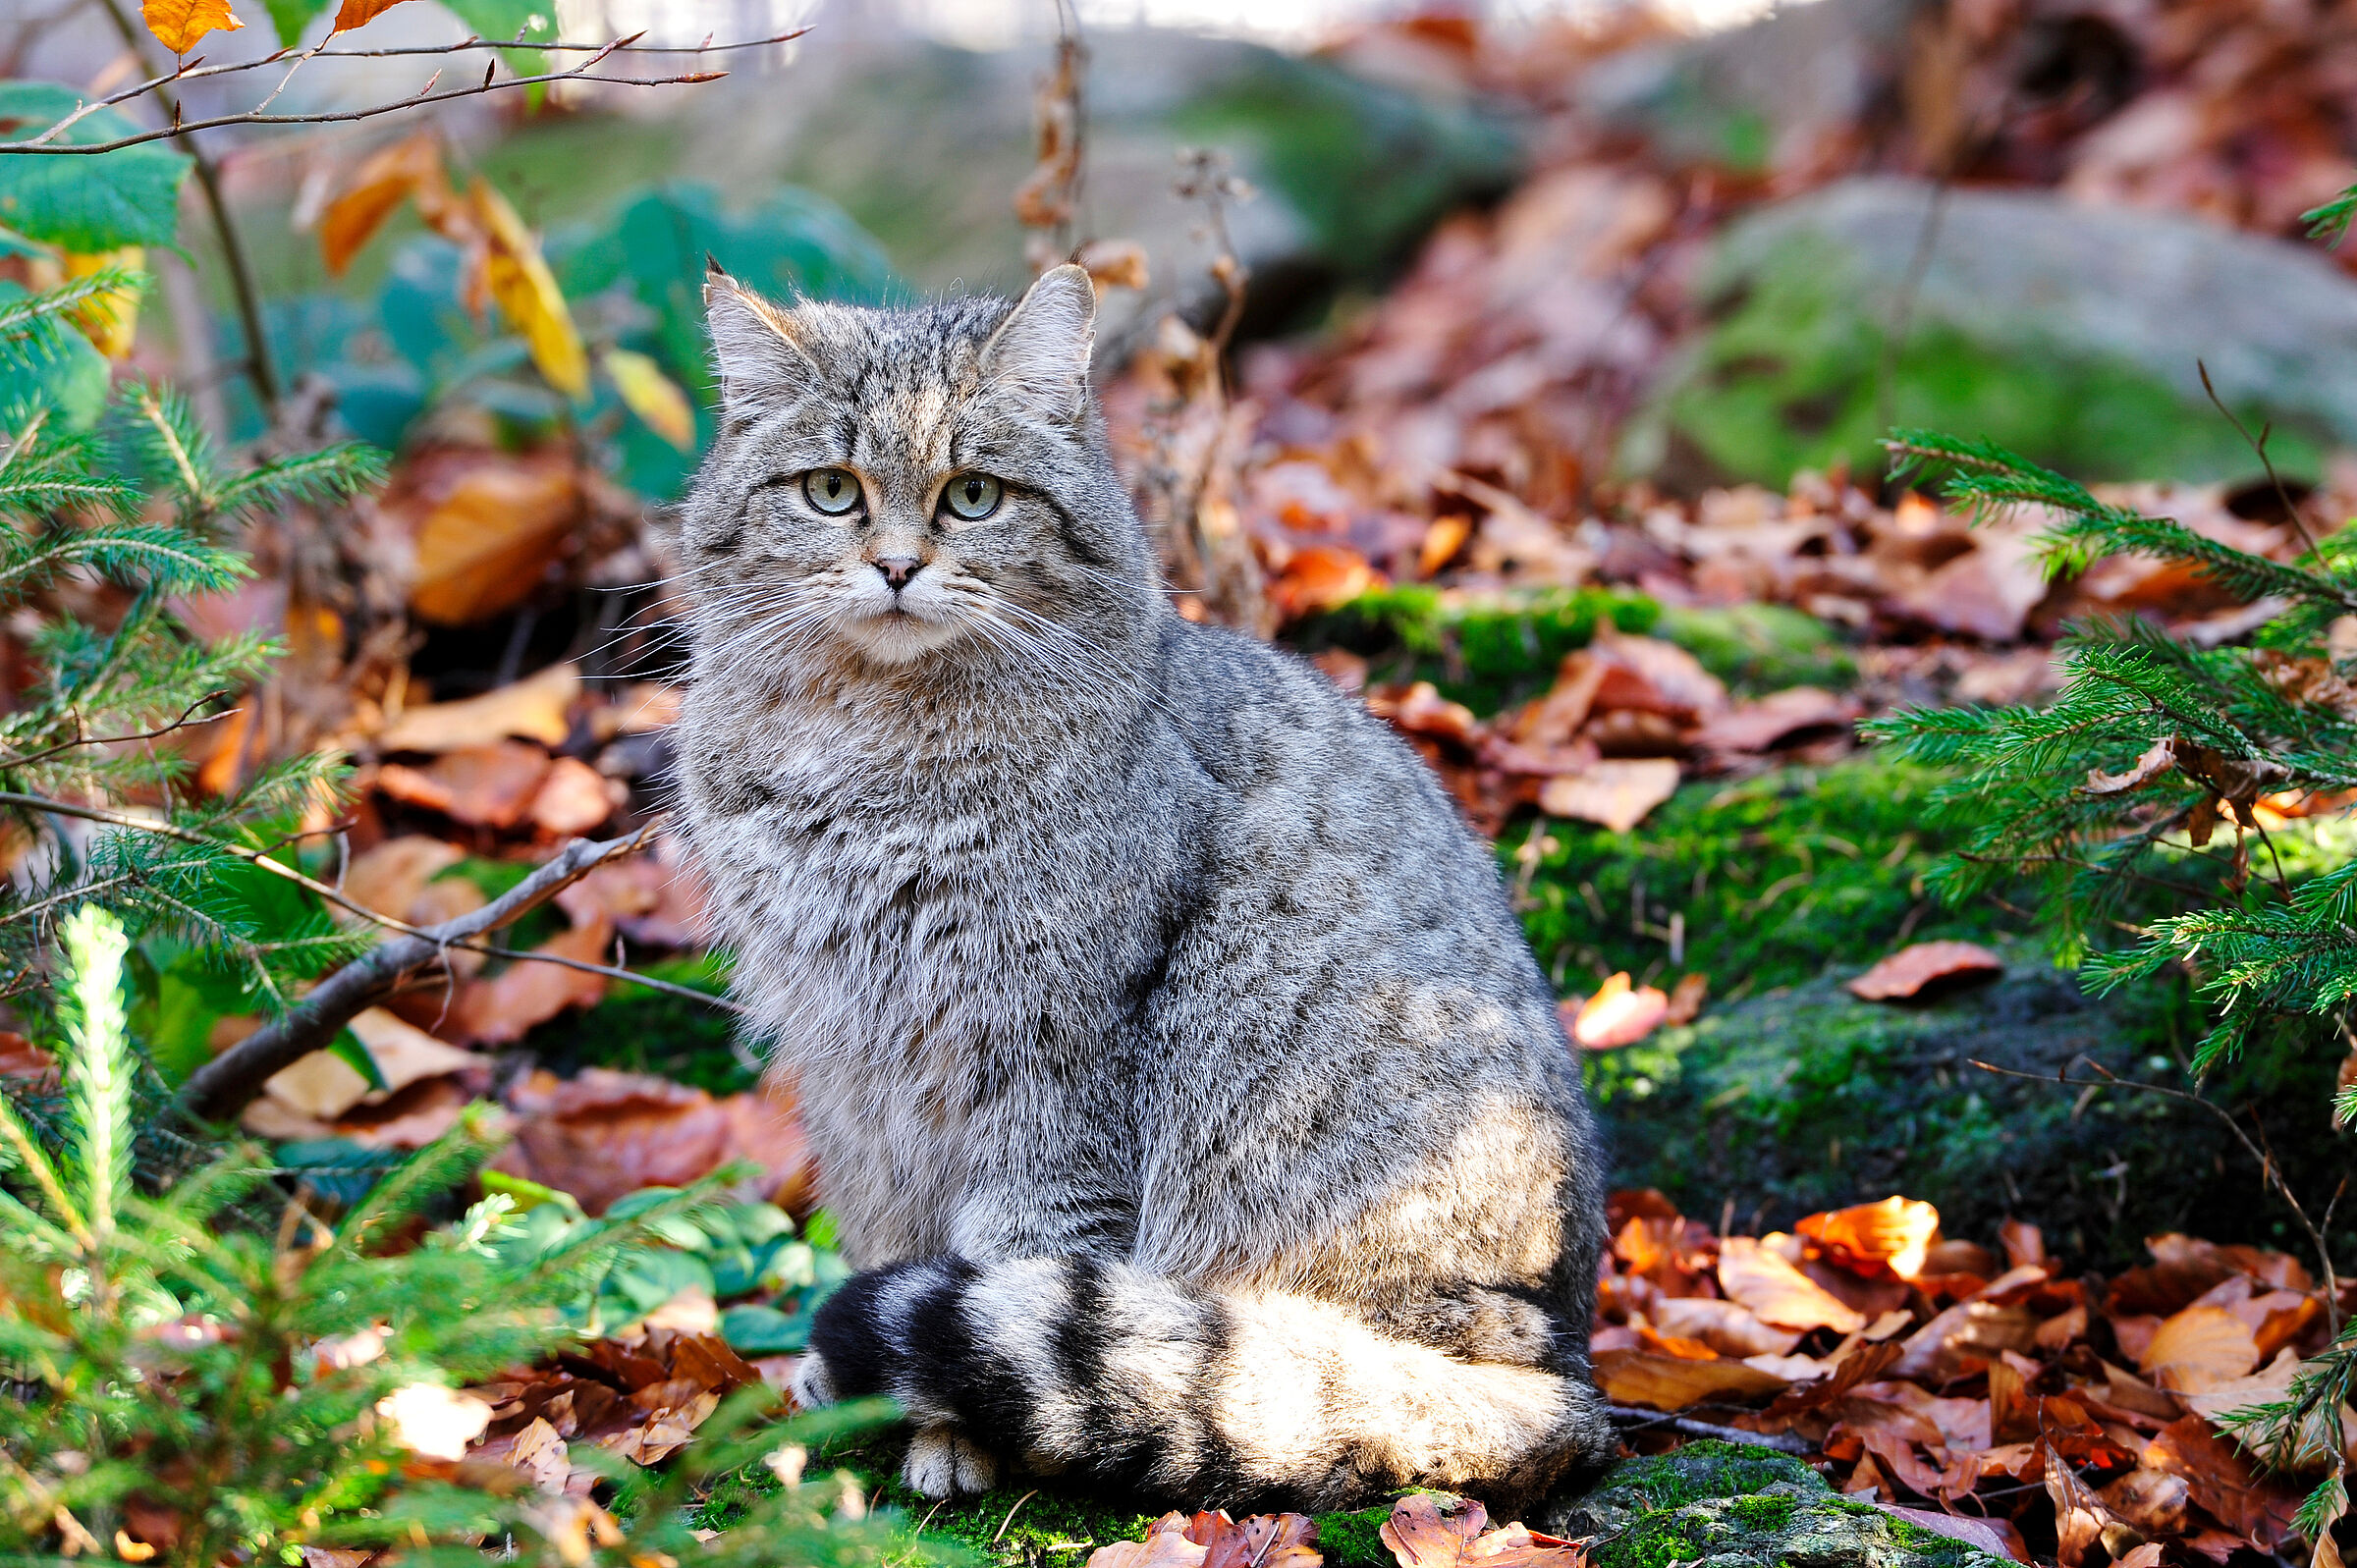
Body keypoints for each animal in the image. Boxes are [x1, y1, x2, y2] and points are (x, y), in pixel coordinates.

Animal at [674, 262, 1612, 1508]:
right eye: (831, 491)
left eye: (974, 496)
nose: (896, 566)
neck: (870, 752)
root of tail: (1579, 1380)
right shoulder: (851, 1064)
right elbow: (885, 1226)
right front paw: (863, 1390)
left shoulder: (1049, 1062)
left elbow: (1020, 1249)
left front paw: (950, 1429)